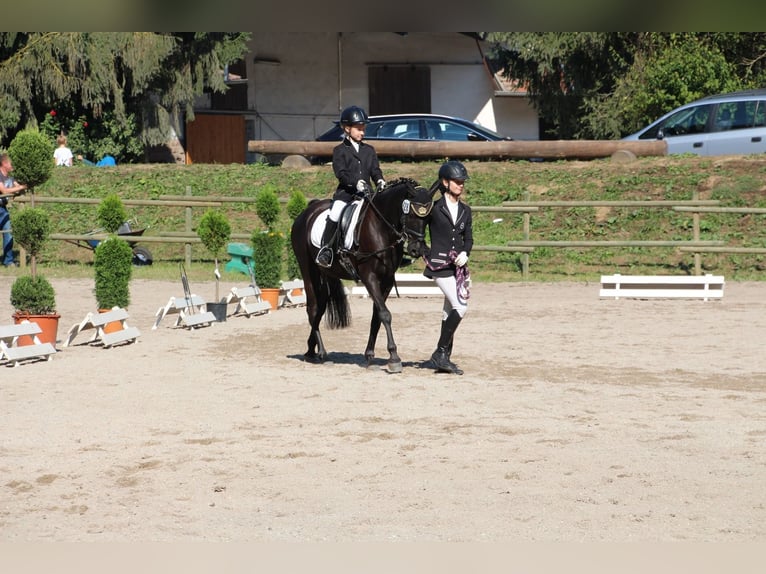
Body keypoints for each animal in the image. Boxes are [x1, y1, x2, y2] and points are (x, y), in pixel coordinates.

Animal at [292, 178, 438, 374]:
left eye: (428, 218)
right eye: (411, 216)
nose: (417, 249)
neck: (380, 227)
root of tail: (307, 212)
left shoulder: (387, 281)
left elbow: (377, 316)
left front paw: (369, 356)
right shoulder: (369, 277)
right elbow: (385, 314)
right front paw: (394, 358)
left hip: (326, 273)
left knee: (320, 307)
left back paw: (310, 350)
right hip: (308, 270)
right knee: (313, 308)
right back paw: (322, 353)